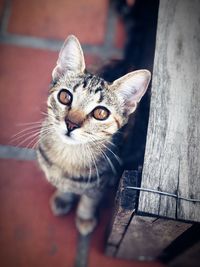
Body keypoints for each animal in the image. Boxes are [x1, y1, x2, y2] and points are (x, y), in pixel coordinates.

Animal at [36, 35, 151, 237]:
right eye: (65, 96)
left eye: (100, 113)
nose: (71, 124)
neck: (67, 158)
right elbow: (65, 187)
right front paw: (63, 198)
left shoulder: (99, 184)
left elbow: (89, 200)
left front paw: (85, 218)